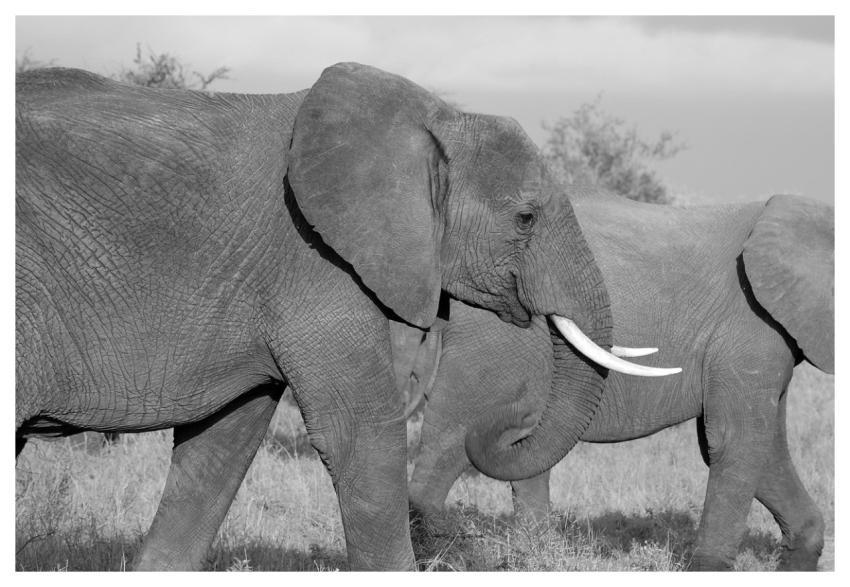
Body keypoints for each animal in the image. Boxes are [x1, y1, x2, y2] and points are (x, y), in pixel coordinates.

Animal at [15, 63, 677, 570]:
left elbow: (222, 442)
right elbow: (361, 435)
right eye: (526, 218)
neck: (434, 120)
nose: (510, 423)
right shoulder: (311, 259)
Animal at [408, 189, 833, 571]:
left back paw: (536, 559)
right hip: (493, 339)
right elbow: (735, 440)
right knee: (449, 438)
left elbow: (759, 446)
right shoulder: (748, 328)